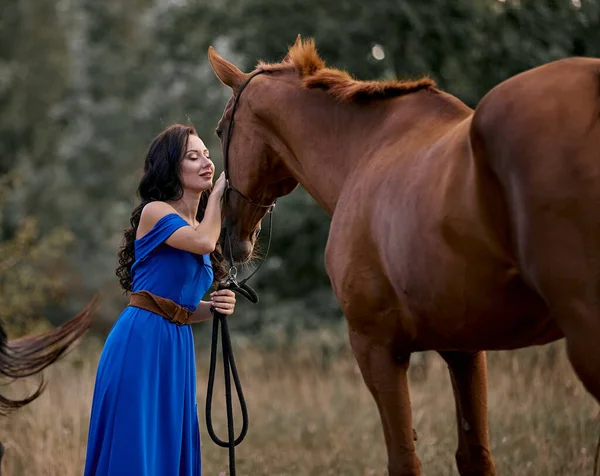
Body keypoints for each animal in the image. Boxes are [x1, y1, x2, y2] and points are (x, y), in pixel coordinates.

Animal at [207, 38, 600, 476]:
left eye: (221, 130)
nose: (226, 238)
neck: (365, 149)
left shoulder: (377, 347)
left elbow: (404, 460)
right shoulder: (465, 349)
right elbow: (474, 455)